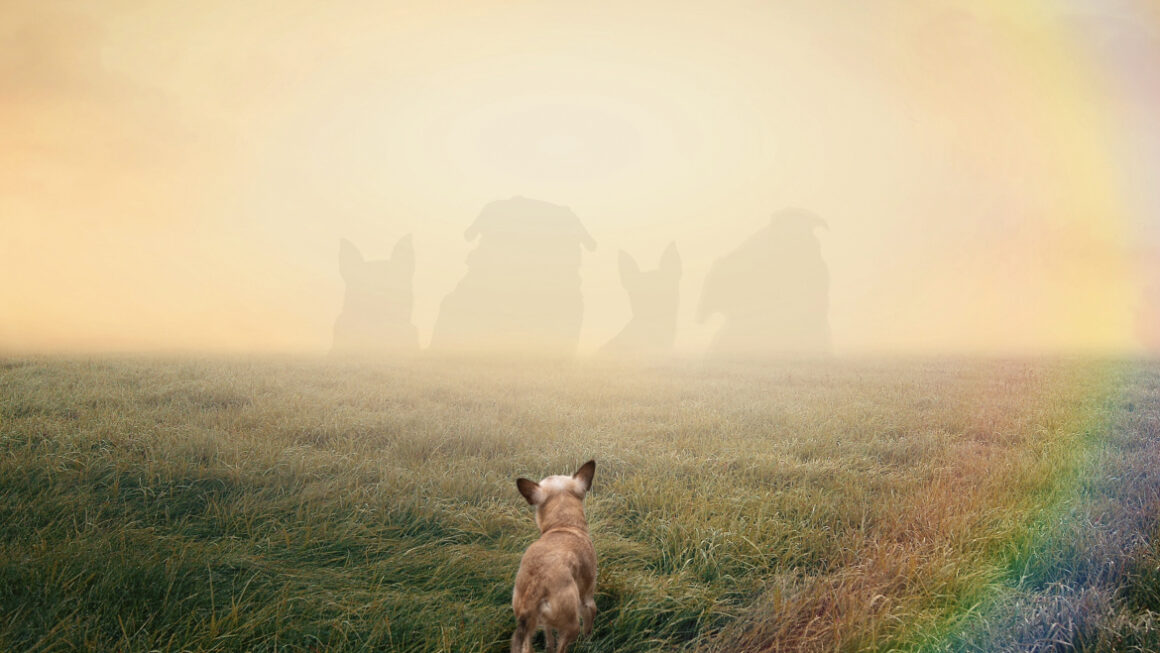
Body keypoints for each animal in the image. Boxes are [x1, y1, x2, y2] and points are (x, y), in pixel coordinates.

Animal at [510, 461, 598, 653]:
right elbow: (589, 624)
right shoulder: (587, 600)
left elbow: (549, 636)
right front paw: (589, 641)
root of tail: (536, 586)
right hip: (572, 626)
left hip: (528, 626)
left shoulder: (544, 622)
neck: (564, 525)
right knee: (563, 645)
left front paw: (548, 644)